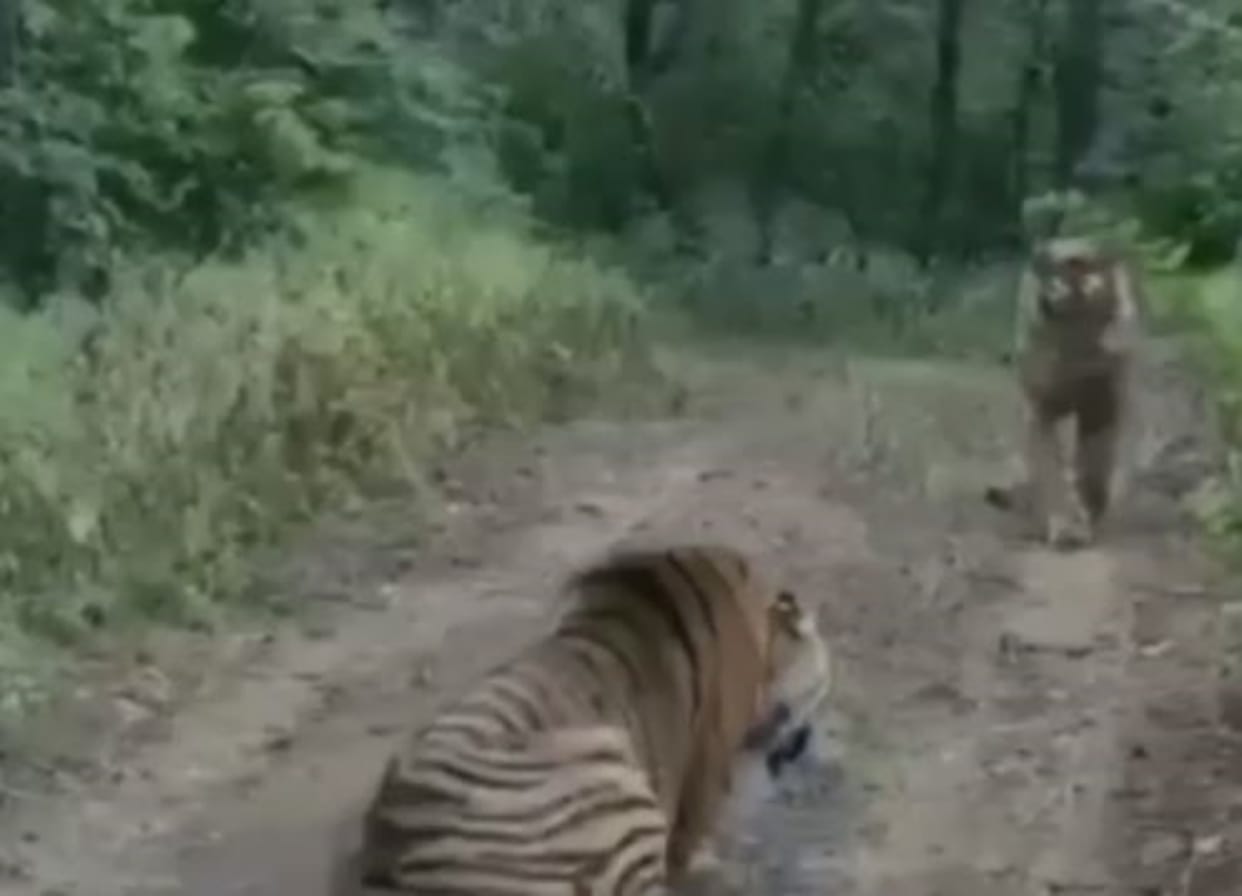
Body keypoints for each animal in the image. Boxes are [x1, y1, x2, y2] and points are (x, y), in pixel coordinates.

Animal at [985, 234, 1142, 549]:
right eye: (1047, 266)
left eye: (1077, 264)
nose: (1042, 262)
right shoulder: (1040, 408)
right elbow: (1050, 469)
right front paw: (1067, 525)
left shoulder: (1102, 405)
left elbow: (1095, 463)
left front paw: (1089, 508)